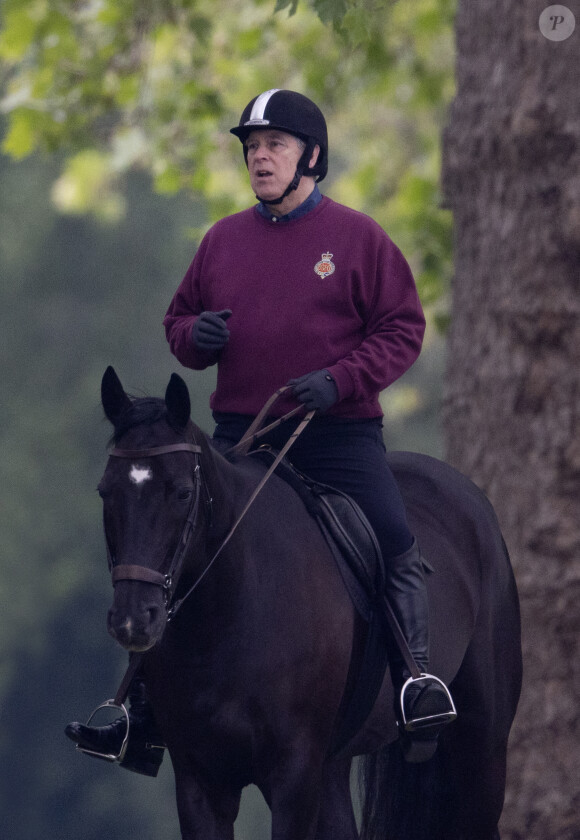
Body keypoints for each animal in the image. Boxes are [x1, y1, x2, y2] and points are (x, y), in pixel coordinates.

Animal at [95, 368, 520, 840]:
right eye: (105, 491)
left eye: (184, 493)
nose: (134, 620)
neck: (229, 615)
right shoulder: (200, 782)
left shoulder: (293, 776)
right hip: (333, 767)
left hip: (481, 750)